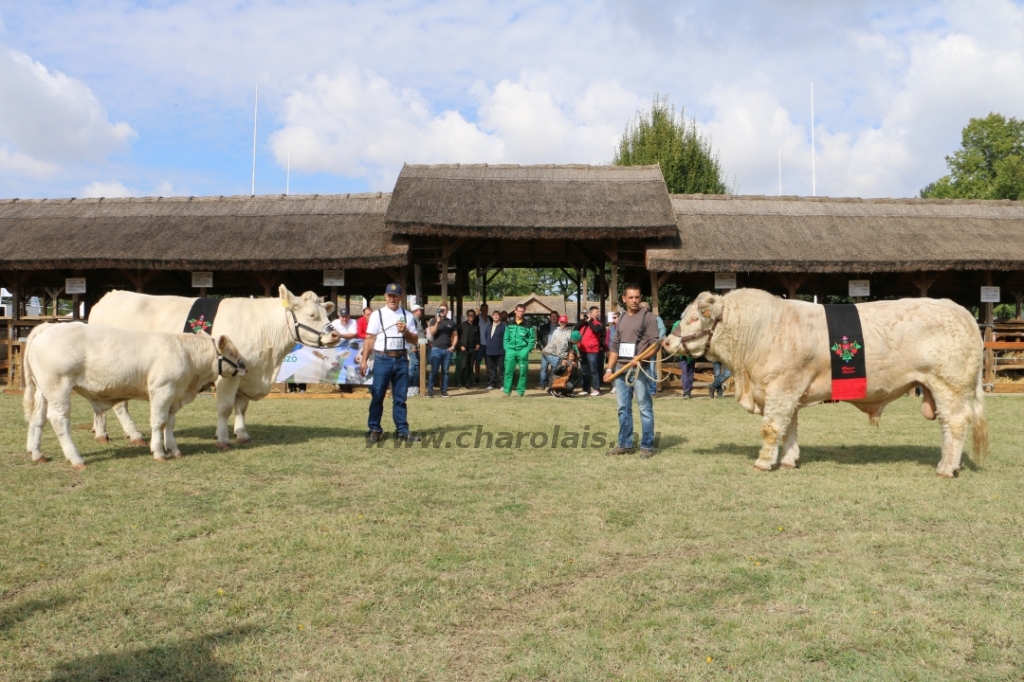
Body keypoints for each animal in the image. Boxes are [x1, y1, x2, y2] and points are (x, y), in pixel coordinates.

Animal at [23, 321, 246, 464]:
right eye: (233, 352)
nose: (245, 366)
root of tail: (47, 326)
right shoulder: (162, 389)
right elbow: (158, 422)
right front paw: (159, 452)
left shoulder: (174, 395)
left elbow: (169, 423)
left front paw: (174, 449)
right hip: (59, 386)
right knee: (59, 419)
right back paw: (76, 458)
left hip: (44, 390)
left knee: (37, 418)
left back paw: (37, 454)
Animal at [90, 282, 337, 446]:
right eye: (312, 314)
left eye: (326, 314)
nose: (335, 335)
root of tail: (111, 296)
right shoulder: (227, 375)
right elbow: (225, 407)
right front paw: (223, 438)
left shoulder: (246, 373)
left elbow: (241, 407)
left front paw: (242, 433)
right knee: (119, 406)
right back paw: (133, 435)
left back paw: (101, 432)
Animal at [659, 288, 987, 477]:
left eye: (692, 319)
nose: (665, 342)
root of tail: (958, 309)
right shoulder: (788, 392)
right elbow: (789, 428)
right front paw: (789, 460)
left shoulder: (780, 388)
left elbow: (771, 428)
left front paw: (764, 462)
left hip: (949, 384)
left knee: (955, 423)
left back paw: (946, 468)